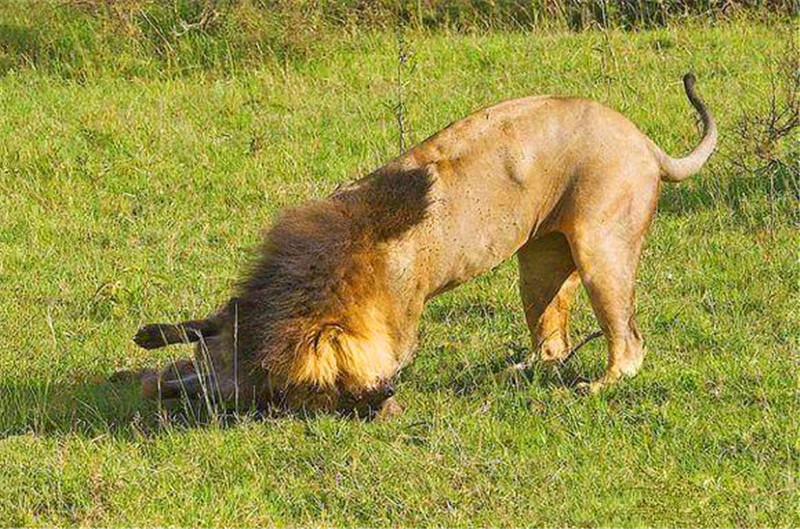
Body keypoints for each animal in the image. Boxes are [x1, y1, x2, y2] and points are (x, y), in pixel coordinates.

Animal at [131, 73, 720, 416]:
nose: (384, 398)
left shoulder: (397, 327)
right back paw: (517, 370)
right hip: (539, 264)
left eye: (295, 398)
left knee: (630, 344)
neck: (332, 270)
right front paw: (161, 371)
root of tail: (646, 142)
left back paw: (596, 387)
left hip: (603, 248)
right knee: (552, 343)